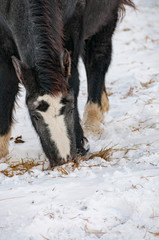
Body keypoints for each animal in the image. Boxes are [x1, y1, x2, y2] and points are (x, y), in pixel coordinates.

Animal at [0, 0, 135, 167]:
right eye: (35, 116)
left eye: (71, 109)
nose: (63, 160)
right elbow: (6, 87)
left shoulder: (72, 27)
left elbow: (73, 80)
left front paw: (79, 146)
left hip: (106, 16)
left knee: (98, 58)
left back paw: (93, 122)